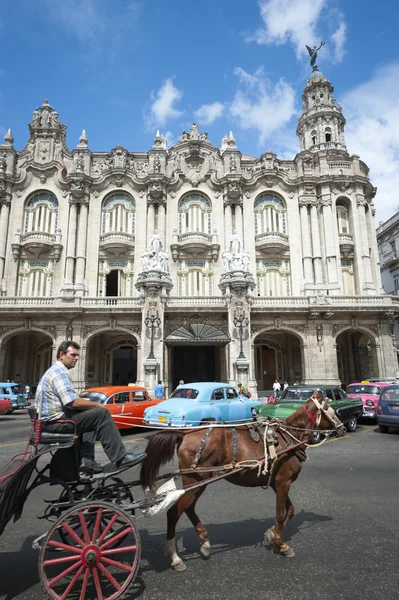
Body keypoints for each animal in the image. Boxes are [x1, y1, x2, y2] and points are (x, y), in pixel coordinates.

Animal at [141, 392, 346, 568]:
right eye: (328, 408)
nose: (343, 427)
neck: (288, 438)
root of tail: (184, 433)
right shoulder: (283, 482)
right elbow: (280, 514)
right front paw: (281, 545)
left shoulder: (277, 483)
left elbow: (290, 511)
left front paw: (271, 534)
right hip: (195, 480)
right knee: (174, 512)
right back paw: (174, 557)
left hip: (196, 482)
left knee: (188, 508)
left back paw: (204, 541)